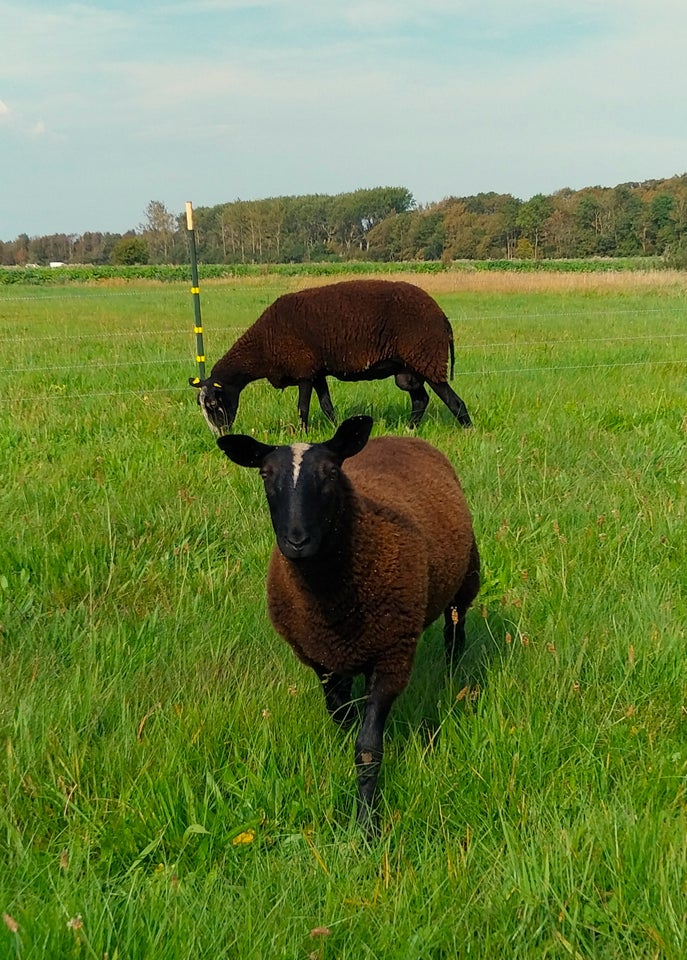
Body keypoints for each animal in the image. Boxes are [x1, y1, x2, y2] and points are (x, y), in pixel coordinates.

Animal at [192, 276, 472, 430]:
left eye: (214, 404)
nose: (220, 436)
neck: (263, 346)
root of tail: (442, 316)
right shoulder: (316, 371)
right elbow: (327, 406)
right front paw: (336, 429)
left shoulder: (303, 370)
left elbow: (302, 408)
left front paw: (302, 433)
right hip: (408, 370)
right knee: (420, 399)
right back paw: (410, 429)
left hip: (427, 357)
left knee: (454, 402)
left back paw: (468, 430)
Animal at [218, 416, 482, 836]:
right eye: (264, 474)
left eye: (330, 472)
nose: (296, 540)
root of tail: (397, 436)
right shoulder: (321, 659)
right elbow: (342, 719)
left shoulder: (391, 657)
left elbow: (368, 748)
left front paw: (366, 826)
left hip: (466, 575)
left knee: (454, 628)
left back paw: (453, 673)